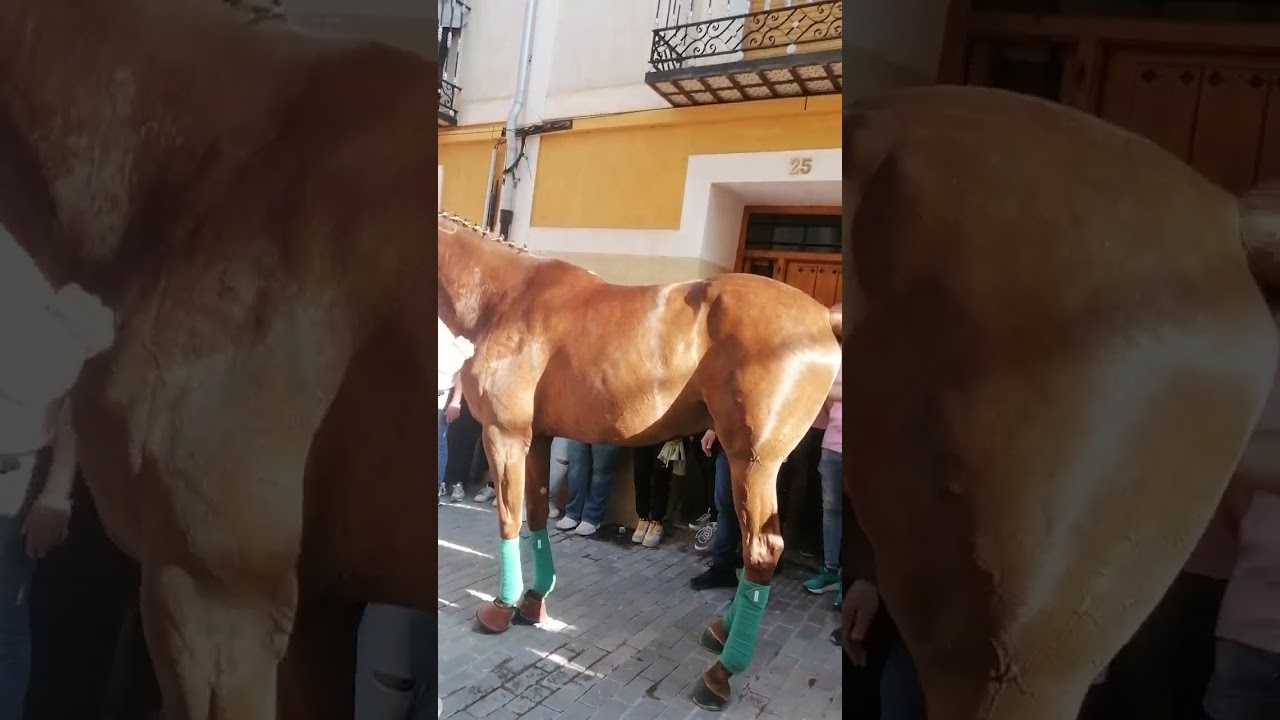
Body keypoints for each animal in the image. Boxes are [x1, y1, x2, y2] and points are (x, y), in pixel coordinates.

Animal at [436, 212, 842, 710]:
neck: (506, 298)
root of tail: (822, 316)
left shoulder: (504, 435)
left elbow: (509, 519)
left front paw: (502, 608)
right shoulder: (537, 438)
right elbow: (536, 515)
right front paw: (533, 601)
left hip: (753, 463)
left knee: (763, 550)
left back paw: (721, 673)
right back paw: (721, 631)